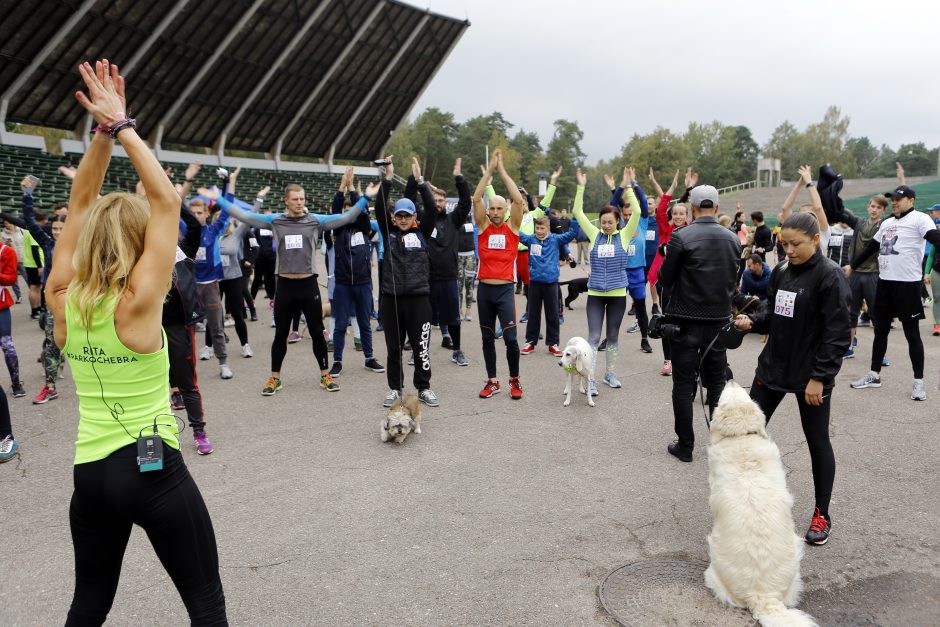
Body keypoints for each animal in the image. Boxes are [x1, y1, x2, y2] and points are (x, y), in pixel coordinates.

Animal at [704, 382, 816, 627]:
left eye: (723, 397)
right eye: (745, 395)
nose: (731, 381)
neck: (742, 440)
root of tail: (764, 598)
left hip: (714, 568)